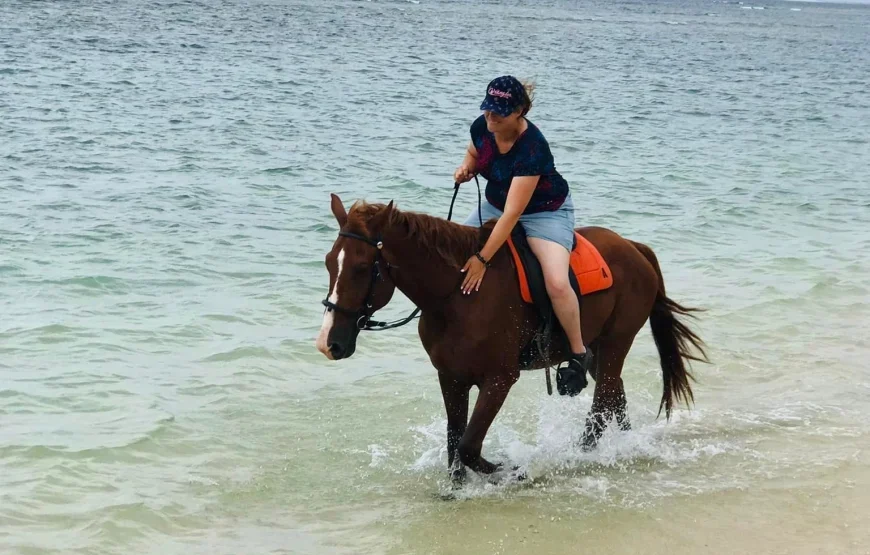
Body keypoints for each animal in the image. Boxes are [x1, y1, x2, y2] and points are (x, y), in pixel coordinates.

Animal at [316, 193, 708, 483]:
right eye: (328, 262)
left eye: (362, 267)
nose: (329, 343)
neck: (457, 296)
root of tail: (633, 247)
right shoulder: (451, 378)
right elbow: (454, 441)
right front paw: (456, 489)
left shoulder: (500, 379)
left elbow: (469, 445)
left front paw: (513, 470)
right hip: (599, 350)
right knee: (614, 397)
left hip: (615, 344)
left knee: (600, 407)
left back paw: (581, 456)